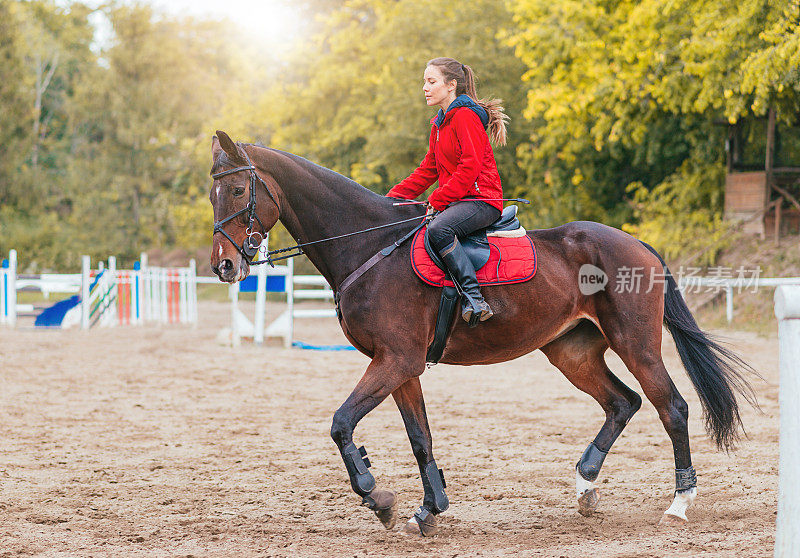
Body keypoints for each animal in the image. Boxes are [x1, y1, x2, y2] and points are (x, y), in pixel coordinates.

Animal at [208, 131, 756, 540]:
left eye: (236, 192)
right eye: (213, 193)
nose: (225, 265)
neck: (370, 246)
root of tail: (636, 243)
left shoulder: (394, 361)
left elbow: (342, 424)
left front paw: (378, 498)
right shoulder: (400, 366)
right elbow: (420, 438)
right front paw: (429, 509)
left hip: (637, 345)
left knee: (672, 408)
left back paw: (679, 505)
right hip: (572, 352)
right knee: (623, 403)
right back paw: (585, 489)